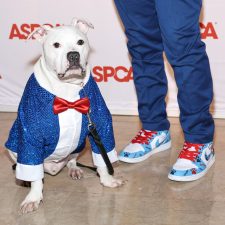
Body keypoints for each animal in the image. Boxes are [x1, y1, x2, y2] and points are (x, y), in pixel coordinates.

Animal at [5, 18, 123, 214]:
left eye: (80, 42)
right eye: (56, 45)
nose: (73, 55)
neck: (68, 88)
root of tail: (52, 168)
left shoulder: (100, 126)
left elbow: (103, 158)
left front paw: (107, 179)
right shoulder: (30, 135)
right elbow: (34, 174)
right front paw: (33, 197)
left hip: (79, 145)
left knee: (71, 160)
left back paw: (73, 169)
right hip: (13, 148)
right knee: (31, 170)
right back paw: (24, 180)